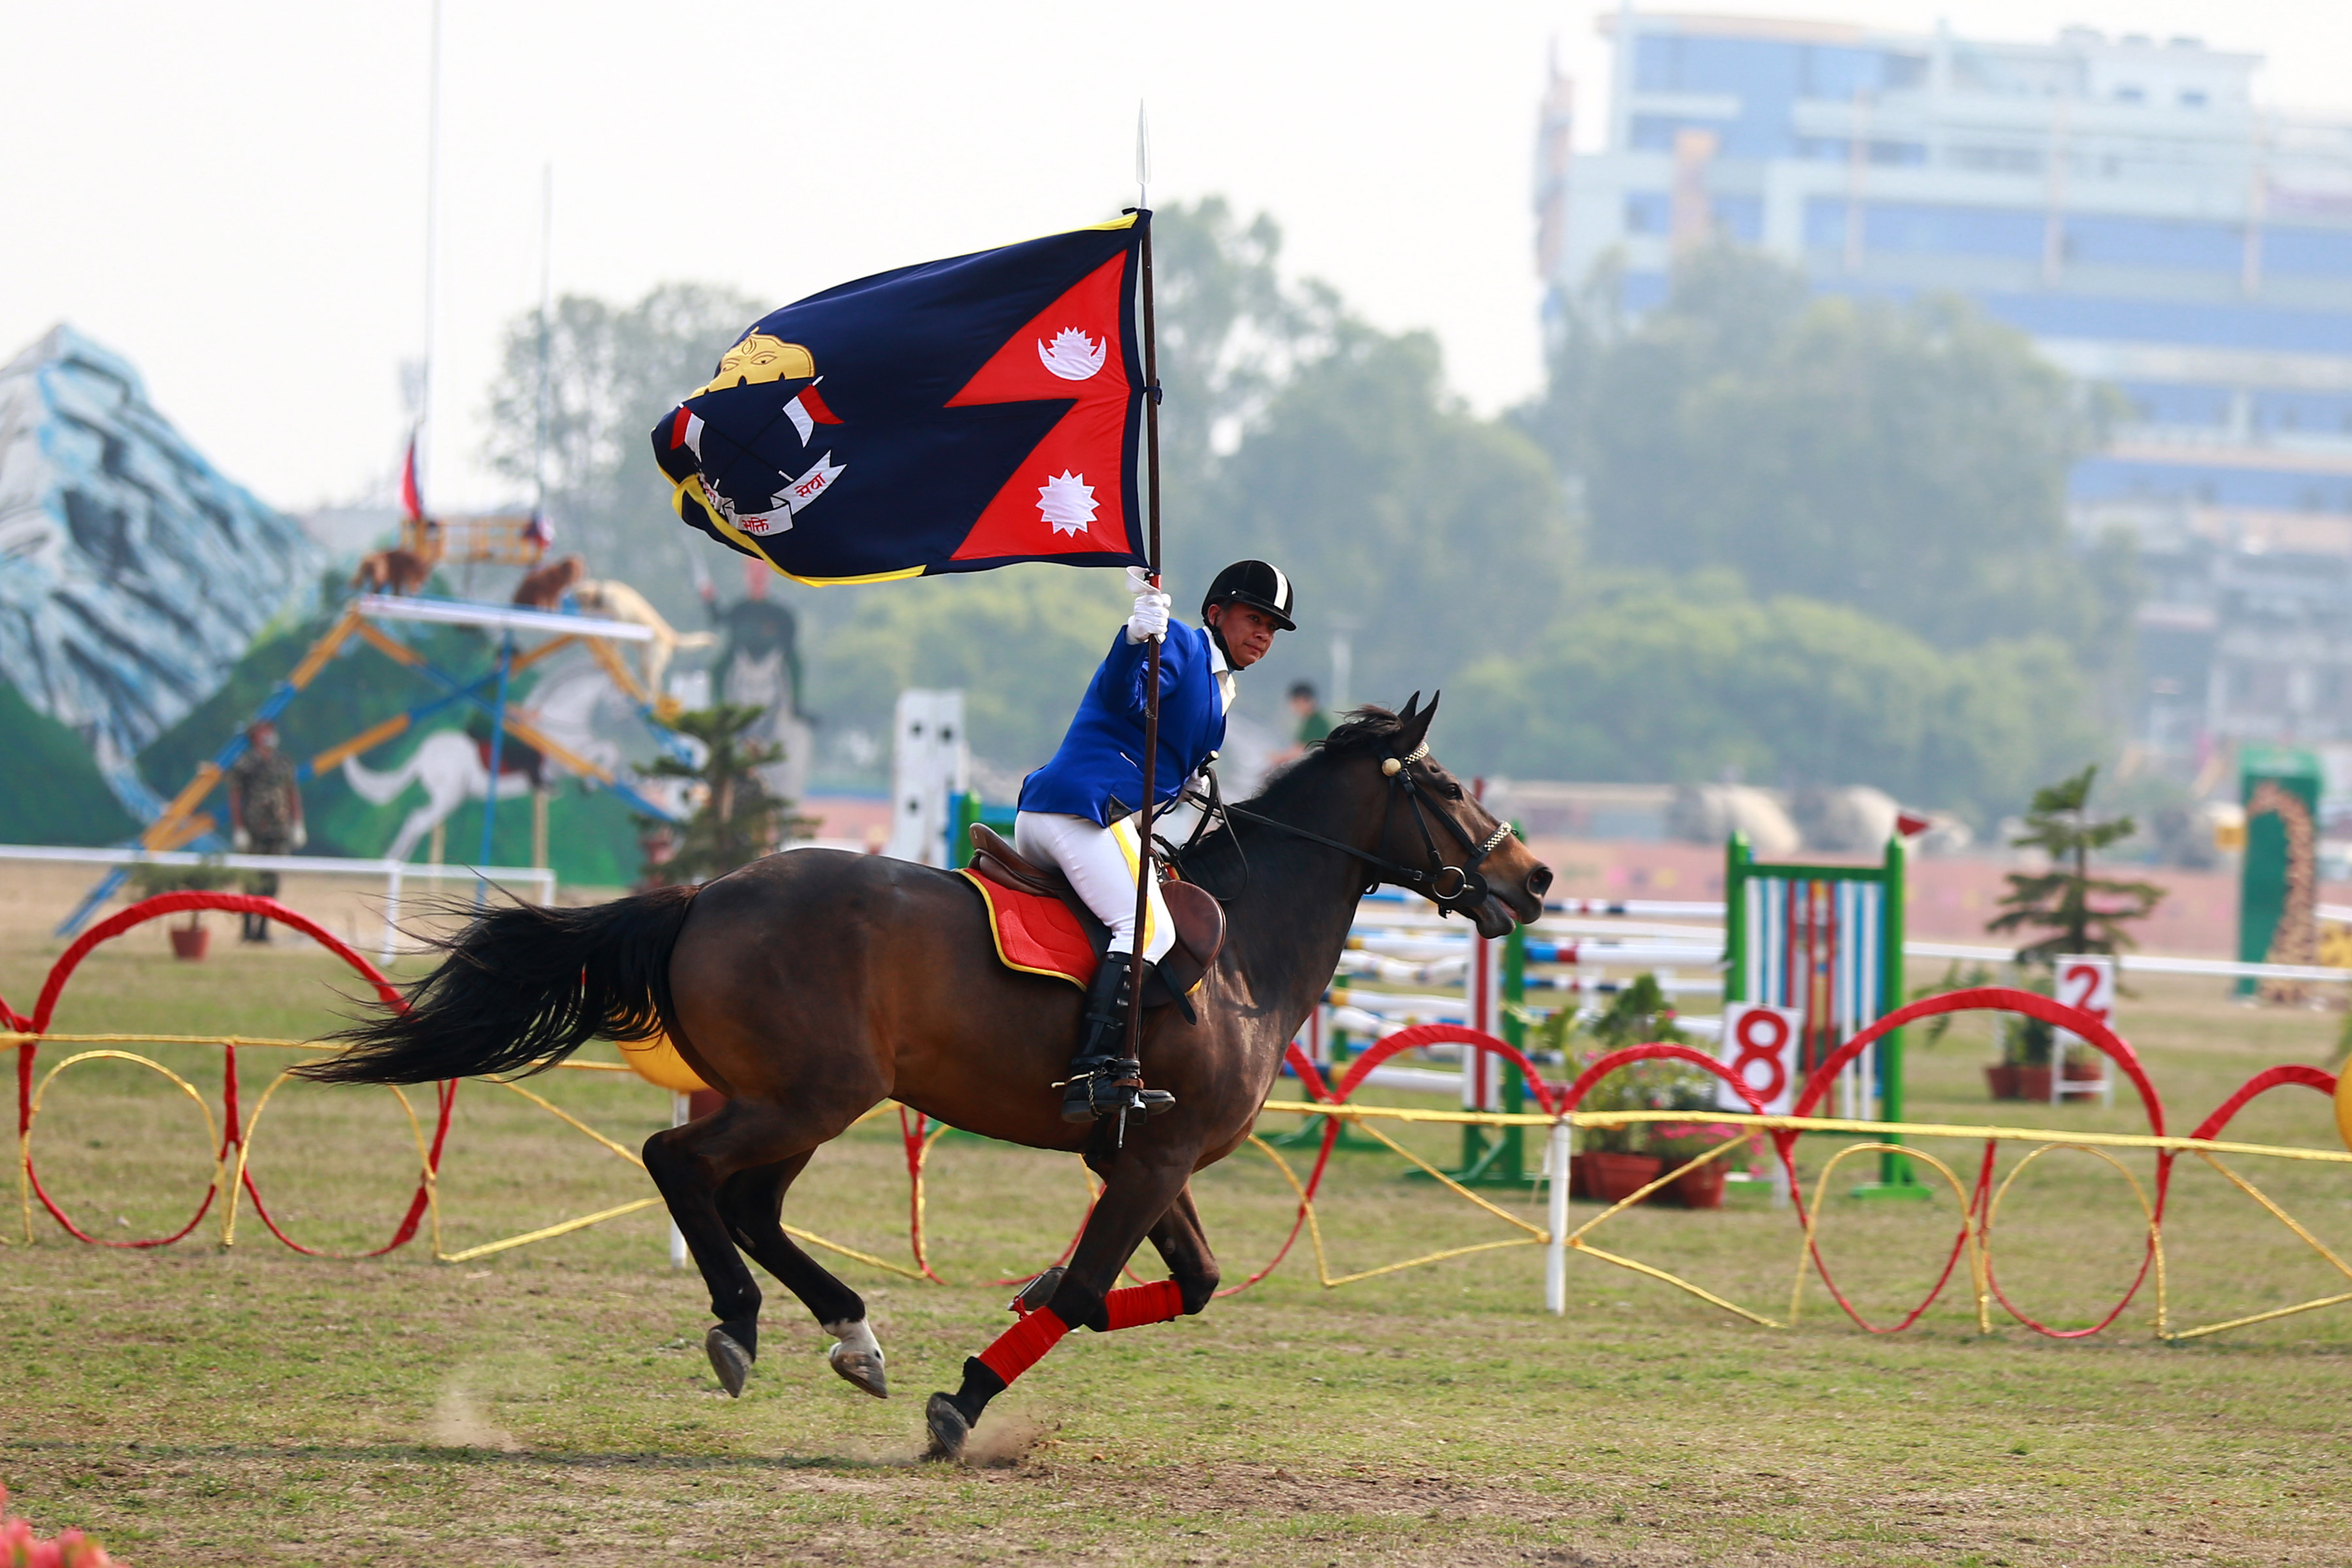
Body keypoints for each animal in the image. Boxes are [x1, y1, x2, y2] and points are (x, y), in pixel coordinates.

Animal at [303, 700, 1552, 1457]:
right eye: (1444, 786)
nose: (1535, 879)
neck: (1244, 953)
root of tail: (705, 894)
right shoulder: (1150, 1159)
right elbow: (1091, 1293)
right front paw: (967, 1398)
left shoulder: (1149, 1159)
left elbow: (1183, 1285)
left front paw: (1021, 1300)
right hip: (809, 1097)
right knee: (682, 1165)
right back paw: (742, 1324)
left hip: (806, 1104)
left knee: (749, 1204)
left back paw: (849, 1334)